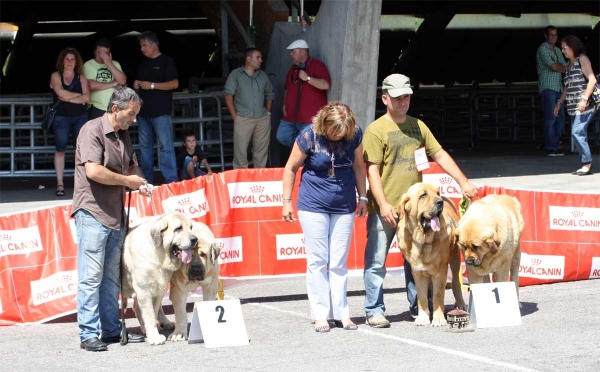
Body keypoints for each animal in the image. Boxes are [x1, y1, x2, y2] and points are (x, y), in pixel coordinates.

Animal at [121, 212, 197, 346]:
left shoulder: (157, 290)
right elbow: (150, 314)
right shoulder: (144, 290)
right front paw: (154, 337)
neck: (159, 255)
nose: (195, 239)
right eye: (178, 229)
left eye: (191, 227)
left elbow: (153, 312)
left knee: (138, 308)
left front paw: (152, 332)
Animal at [396, 182, 466, 326]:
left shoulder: (440, 271)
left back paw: (460, 305)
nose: (440, 202)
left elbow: (438, 295)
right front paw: (423, 317)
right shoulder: (418, 272)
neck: (423, 242)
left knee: (456, 283)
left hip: (455, 259)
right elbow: (422, 296)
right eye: (424, 195)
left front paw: (438, 319)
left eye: (437, 193)